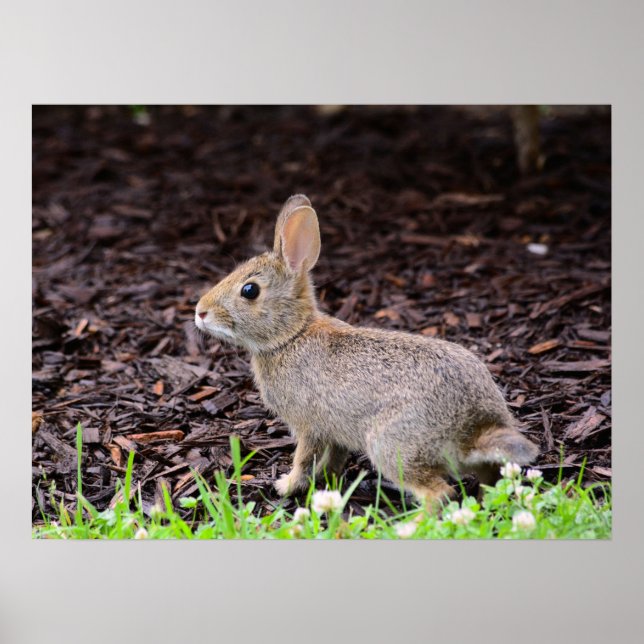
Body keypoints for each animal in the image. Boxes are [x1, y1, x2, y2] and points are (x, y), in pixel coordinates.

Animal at [195, 194, 539, 507]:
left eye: (249, 290)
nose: (200, 312)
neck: (291, 335)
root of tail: (474, 428)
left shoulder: (309, 427)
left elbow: (304, 459)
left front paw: (285, 486)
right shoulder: (333, 432)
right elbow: (334, 459)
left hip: (391, 446)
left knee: (438, 494)